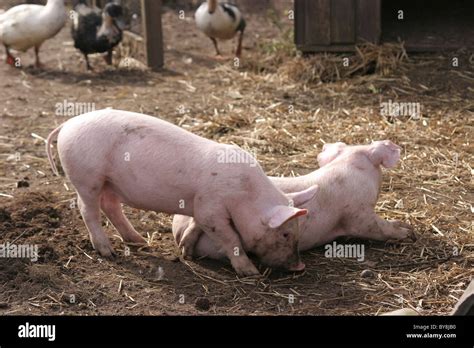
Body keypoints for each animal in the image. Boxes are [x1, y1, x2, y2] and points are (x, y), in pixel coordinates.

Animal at [47, 110, 318, 276]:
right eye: (285, 233)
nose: (299, 265)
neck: (245, 194)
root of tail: (68, 124)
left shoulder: (200, 205)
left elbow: (196, 225)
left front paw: (185, 252)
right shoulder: (211, 208)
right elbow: (231, 238)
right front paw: (250, 272)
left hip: (110, 183)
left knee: (111, 206)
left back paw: (139, 241)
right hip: (87, 178)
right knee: (87, 210)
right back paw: (108, 252)